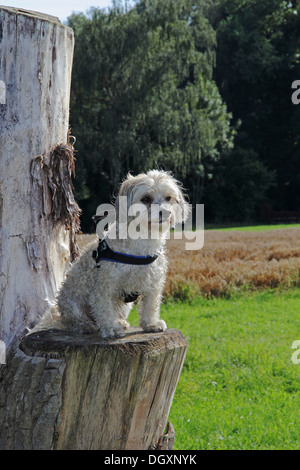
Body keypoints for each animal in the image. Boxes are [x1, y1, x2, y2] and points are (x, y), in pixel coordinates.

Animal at [34, 170, 188, 338]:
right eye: (146, 199)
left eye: (168, 198)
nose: (165, 212)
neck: (143, 239)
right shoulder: (104, 285)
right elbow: (104, 308)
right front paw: (111, 328)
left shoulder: (153, 283)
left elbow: (150, 306)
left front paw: (151, 324)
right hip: (72, 303)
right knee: (73, 321)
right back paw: (84, 325)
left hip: (125, 304)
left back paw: (120, 322)